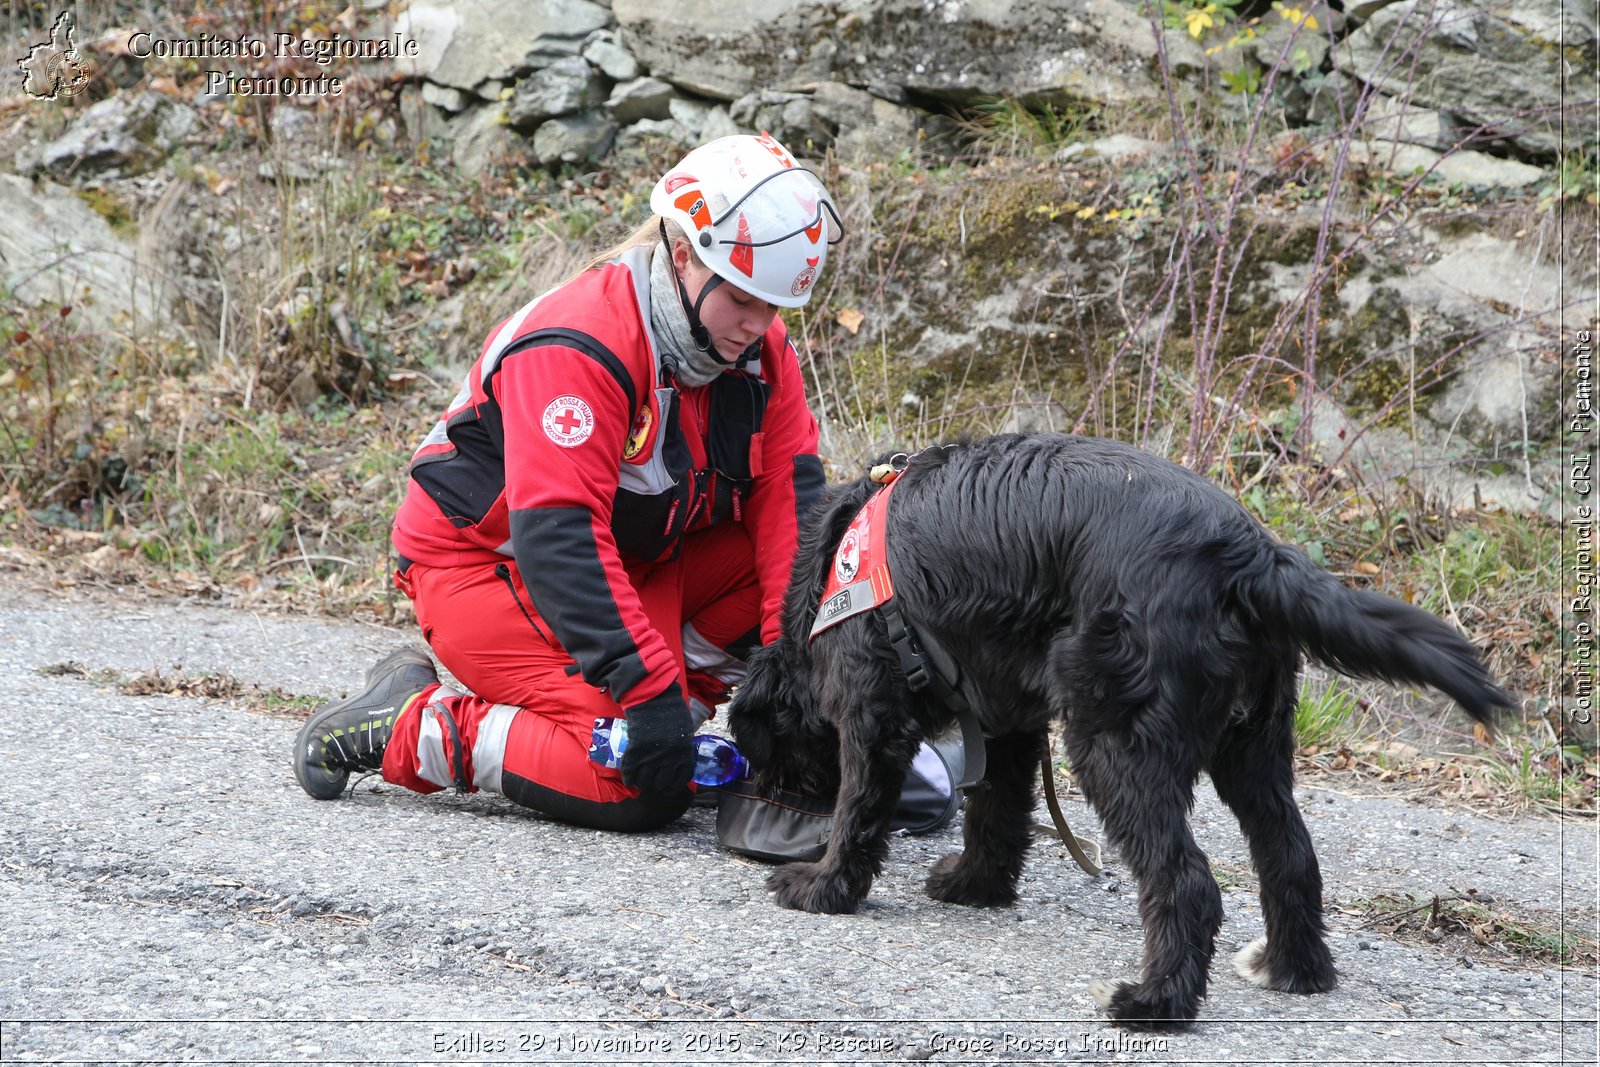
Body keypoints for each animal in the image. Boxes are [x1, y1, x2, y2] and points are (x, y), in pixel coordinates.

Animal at [732, 428, 1504, 1030]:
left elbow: (860, 809)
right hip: (1253, 751)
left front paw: (823, 888)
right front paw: (976, 886)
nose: (768, 801)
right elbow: (997, 811)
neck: (828, 576)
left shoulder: (873, 713)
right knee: (1290, 854)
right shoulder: (1009, 720)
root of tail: (1247, 553)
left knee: (1188, 881)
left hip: (1111, 744)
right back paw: (1296, 969)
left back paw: (1156, 1003)